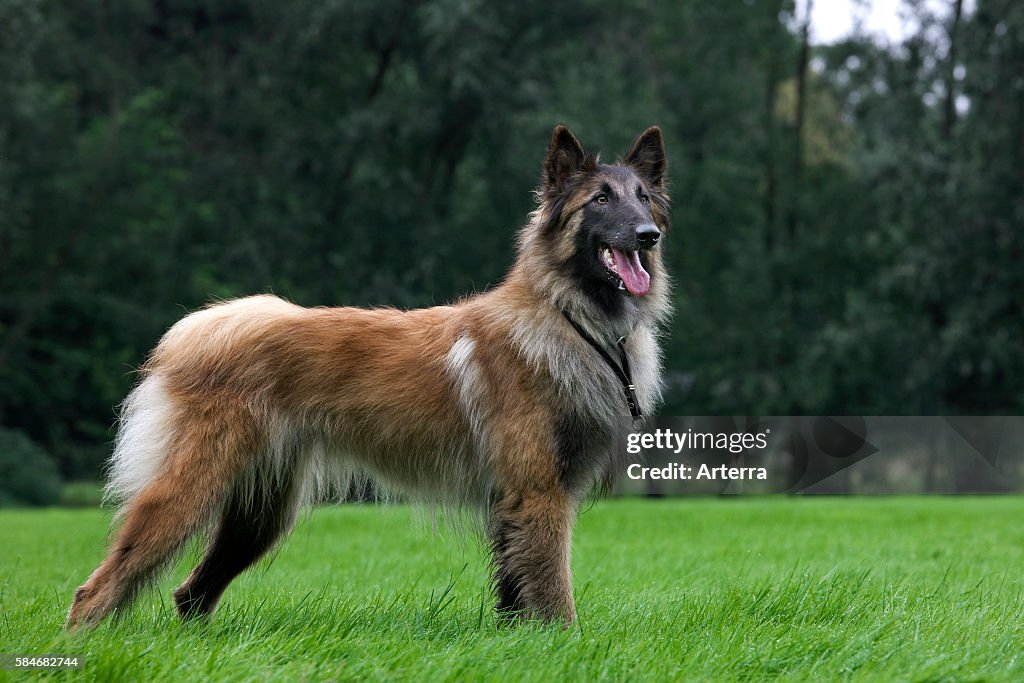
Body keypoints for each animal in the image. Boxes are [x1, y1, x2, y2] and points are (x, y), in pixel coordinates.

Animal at [66, 124, 671, 630]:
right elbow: (552, 593)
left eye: (643, 198)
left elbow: (514, 592)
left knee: (190, 593)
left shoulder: (513, 504)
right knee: (99, 587)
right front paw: (563, 645)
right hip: (192, 489)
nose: (648, 236)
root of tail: (209, 327)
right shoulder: (539, 495)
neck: (565, 316)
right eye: (599, 200)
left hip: (260, 514)